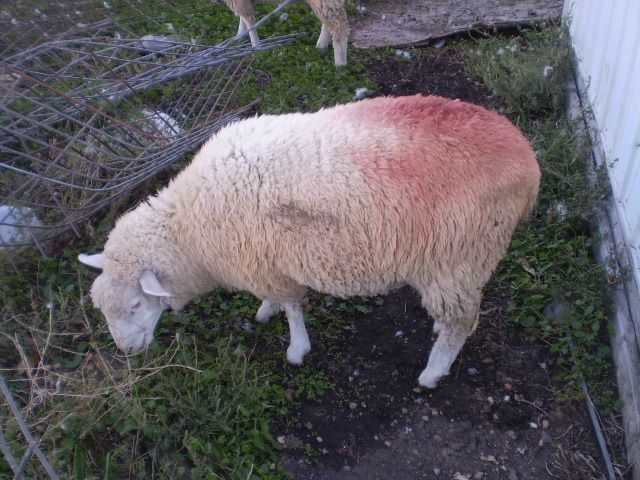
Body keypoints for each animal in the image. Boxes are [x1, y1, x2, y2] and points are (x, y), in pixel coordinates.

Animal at [78, 94, 540, 388]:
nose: (127, 351)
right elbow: (277, 303)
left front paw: (296, 348)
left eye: (135, 305)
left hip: (460, 256)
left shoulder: (268, 265)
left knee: (462, 322)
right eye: (102, 308)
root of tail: (528, 163)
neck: (189, 228)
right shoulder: (263, 263)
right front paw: (264, 312)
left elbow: (293, 308)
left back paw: (432, 373)